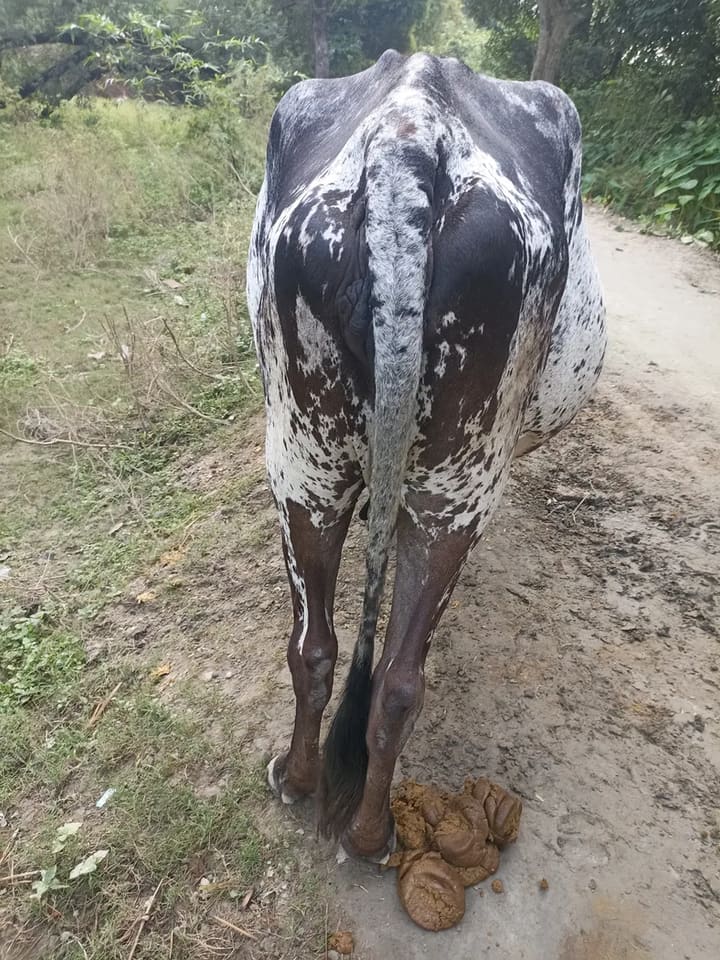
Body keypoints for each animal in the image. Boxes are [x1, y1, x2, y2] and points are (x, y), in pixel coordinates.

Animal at [246, 50, 606, 863]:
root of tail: (407, 136)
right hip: (456, 484)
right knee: (399, 673)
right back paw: (371, 832)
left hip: (304, 459)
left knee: (325, 653)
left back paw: (307, 784)